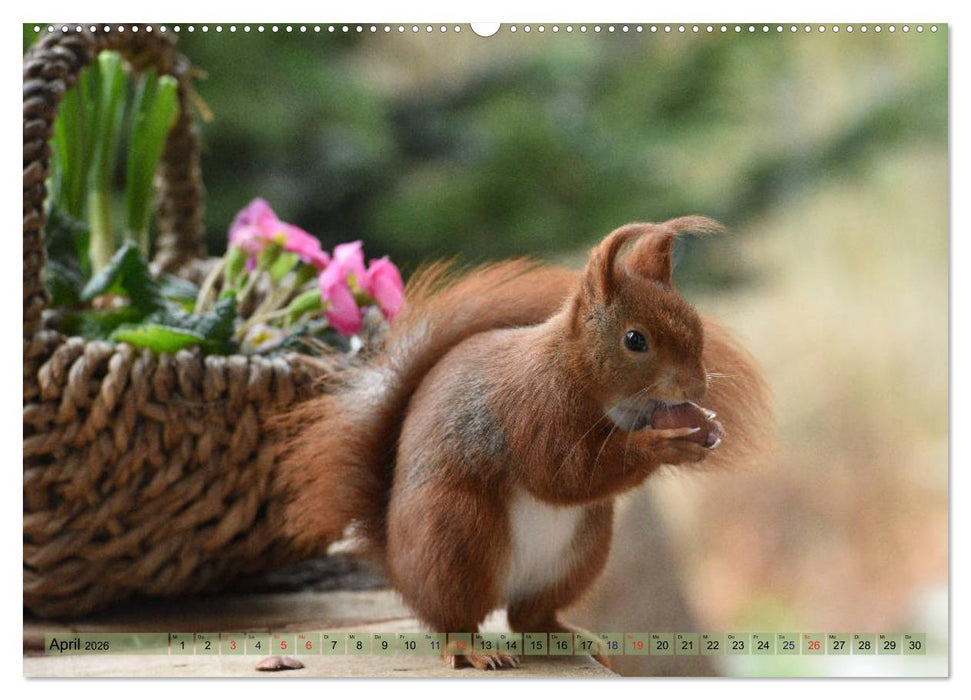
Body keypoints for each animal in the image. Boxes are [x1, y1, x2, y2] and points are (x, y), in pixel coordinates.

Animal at [275, 217, 770, 670]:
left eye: (694, 323)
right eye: (635, 339)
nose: (697, 387)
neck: (579, 373)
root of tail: (397, 567)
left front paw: (708, 427)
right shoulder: (533, 413)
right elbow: (564, 472)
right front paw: (666, 444)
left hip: (581, 551)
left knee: (527, 617)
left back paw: (568, 637)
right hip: (454, 533)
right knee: (454, 618)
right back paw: (474, 648)